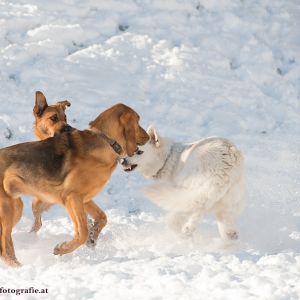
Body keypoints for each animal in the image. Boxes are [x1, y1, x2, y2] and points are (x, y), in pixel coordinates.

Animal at [0, 101, 149, 268]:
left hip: (16, 208)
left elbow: (102, 218)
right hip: (8, 209)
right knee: (5, 249)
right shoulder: (72, 197)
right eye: (138, 121)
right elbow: (82, 232)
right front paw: (63, 249)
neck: (106, 141)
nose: (149, 137)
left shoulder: (84, 199)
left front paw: (93, 238)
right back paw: (19, 267)